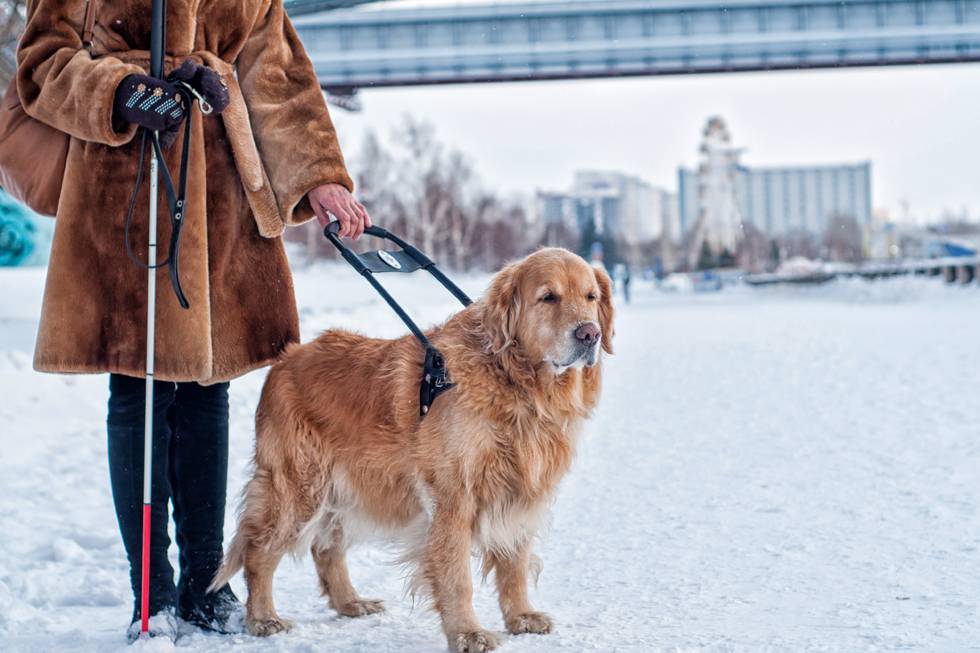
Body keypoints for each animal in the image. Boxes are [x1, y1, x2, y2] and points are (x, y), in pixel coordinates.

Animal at [212, 247, 612, 648]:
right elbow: (457, 576)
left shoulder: (521, 489)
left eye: (591, 297)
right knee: (259, 550)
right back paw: (263, 618)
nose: (589, 333)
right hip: (300, 486)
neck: (515, 381)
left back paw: (350, 602)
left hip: (347, 485)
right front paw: (467, 632)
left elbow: (515, 562)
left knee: (326, 547)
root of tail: (285, 359)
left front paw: (521, 616)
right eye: (548, 297)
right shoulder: (453, 496)